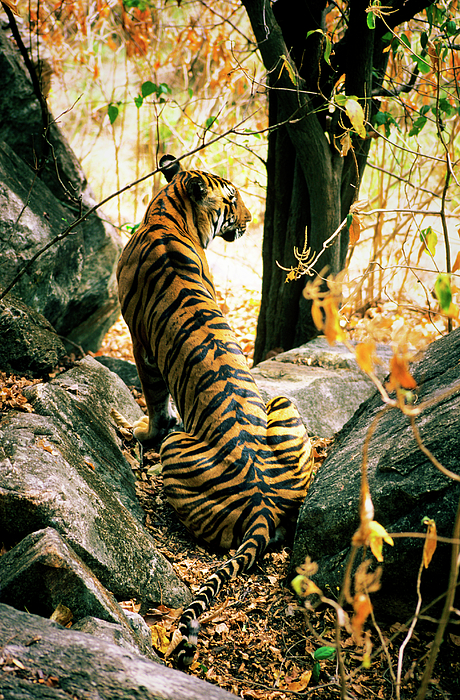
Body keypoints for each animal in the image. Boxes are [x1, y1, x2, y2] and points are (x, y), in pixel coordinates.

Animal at [117, 154, 314, 668]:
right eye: (233, 198)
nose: (249, 219)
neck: (168, 212)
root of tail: (263, 502)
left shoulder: (141, 345)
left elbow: (156, 405)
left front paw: (137, 431)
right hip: (282, 403)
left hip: (178, 450)